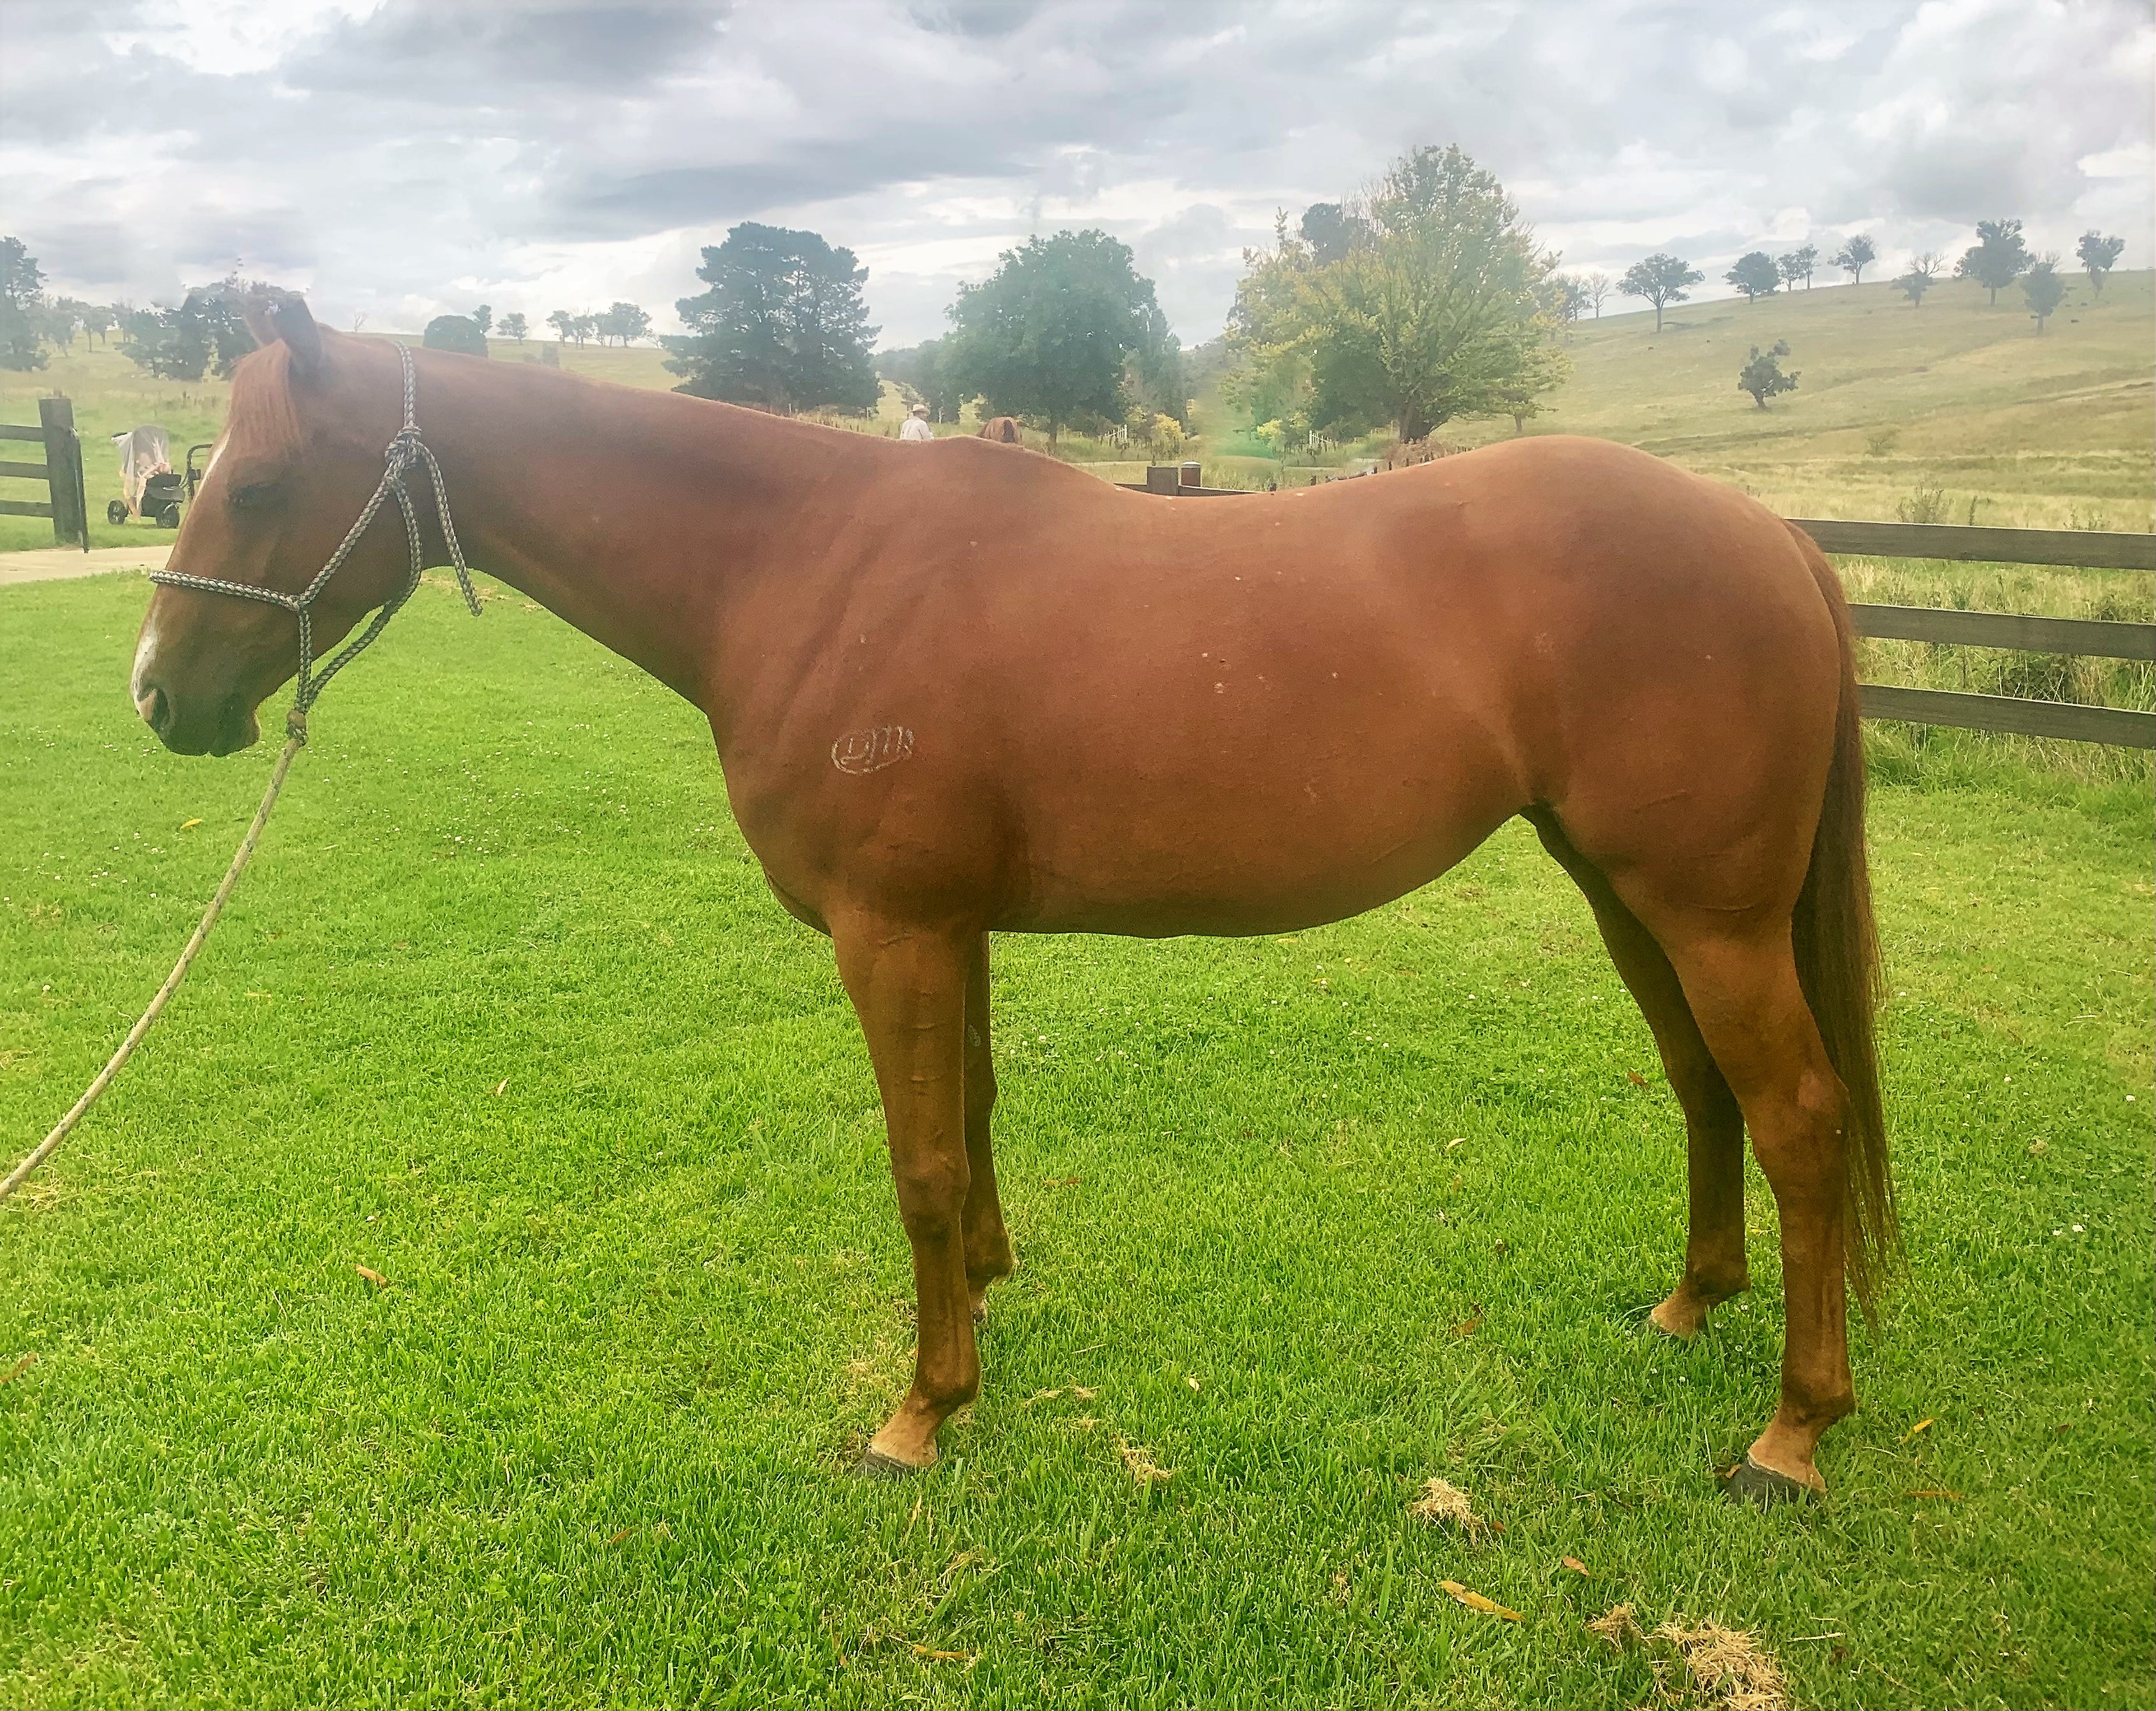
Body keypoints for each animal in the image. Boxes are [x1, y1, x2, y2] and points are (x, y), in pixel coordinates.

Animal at [131, 295, 1897, 1503]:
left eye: (266, 480)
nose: (157, 694)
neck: (806, 562)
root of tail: (1777, 539)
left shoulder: (890, 929)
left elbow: (915, 1161)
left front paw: (920, 1407)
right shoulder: (950, 931)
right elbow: (971, 1118)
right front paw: (984, 1289)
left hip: (1706, 913)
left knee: (1801, 1117)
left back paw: (1794, 1430)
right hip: (1626, 891)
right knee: (1704, 1086)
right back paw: (1689, 1302)